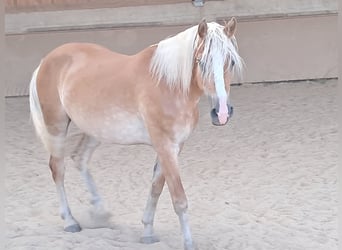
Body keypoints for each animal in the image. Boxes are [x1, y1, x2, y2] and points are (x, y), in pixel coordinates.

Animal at [29, 18, 243, 250]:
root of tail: (46, 61)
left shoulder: (174, 147)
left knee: (80, 158)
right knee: (58, 168)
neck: (168, 84)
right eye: (200, 61)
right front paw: (188, 243)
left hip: (95, 131)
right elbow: (179, 199)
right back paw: (70, 221)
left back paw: (100, 213)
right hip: (56, 126)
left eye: (231, 62)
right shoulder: (165, 146)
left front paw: (147, 233)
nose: (221, 113)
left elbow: (156, 188)